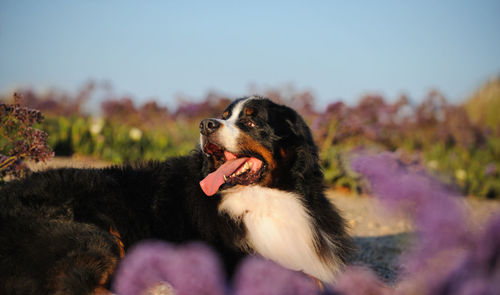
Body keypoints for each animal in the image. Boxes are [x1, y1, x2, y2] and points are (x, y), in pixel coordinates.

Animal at [0, 96, 356, 294]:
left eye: (252, 121)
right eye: (224, 116)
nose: (206, 124)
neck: (262, 198)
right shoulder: (224, 257)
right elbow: (305, 277)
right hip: (93, 234)